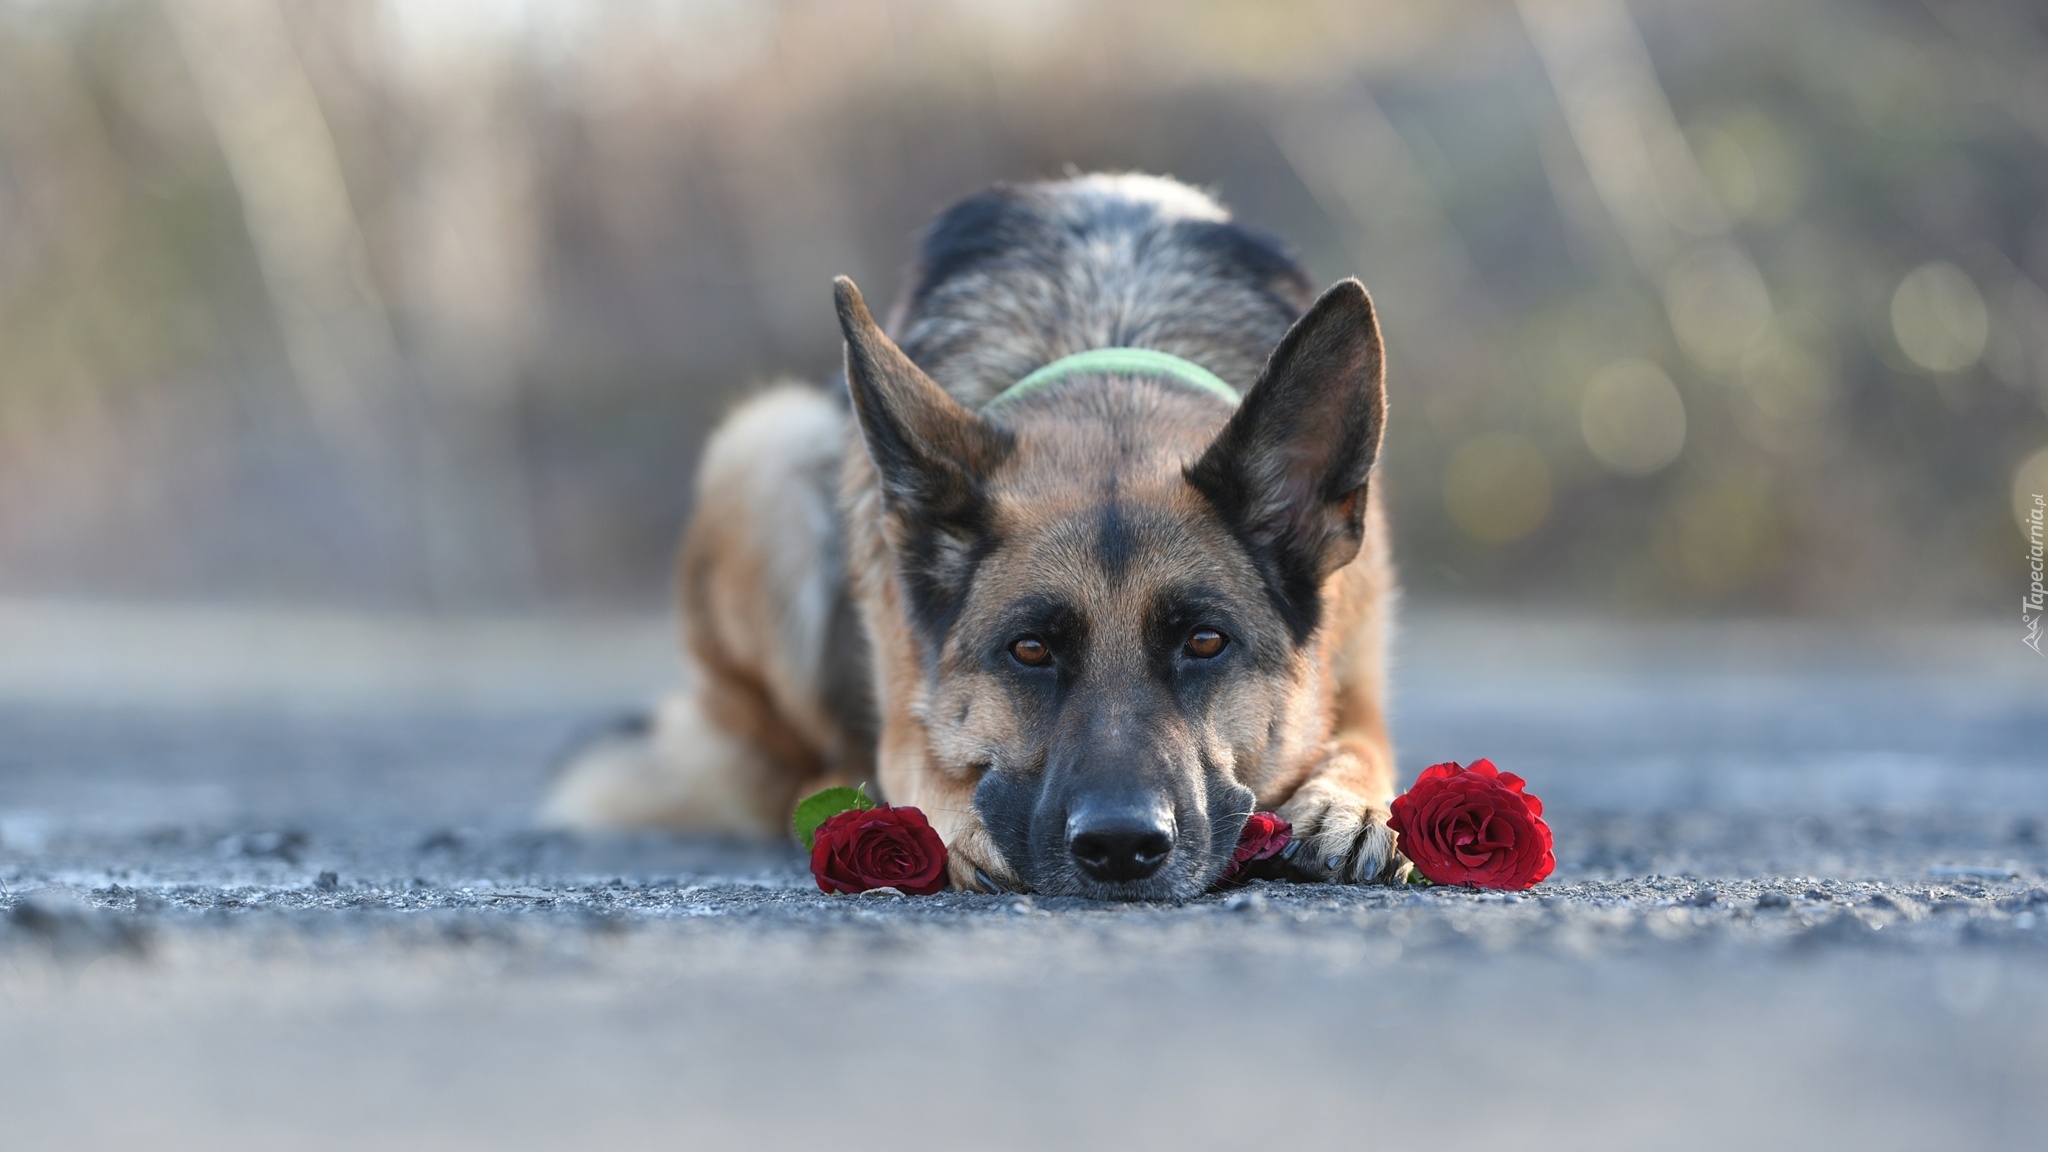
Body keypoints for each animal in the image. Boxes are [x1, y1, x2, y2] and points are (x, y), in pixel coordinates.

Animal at [544, 170, 1409, 897]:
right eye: (1028, 650)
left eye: (1205, 643)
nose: (1121, 848)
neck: (1111, 350)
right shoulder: (905, 707)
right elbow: (924, 764)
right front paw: (958, 822)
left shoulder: (1356, 673)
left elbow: (1365, 746)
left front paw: (1349, 802)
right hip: (764, 447)